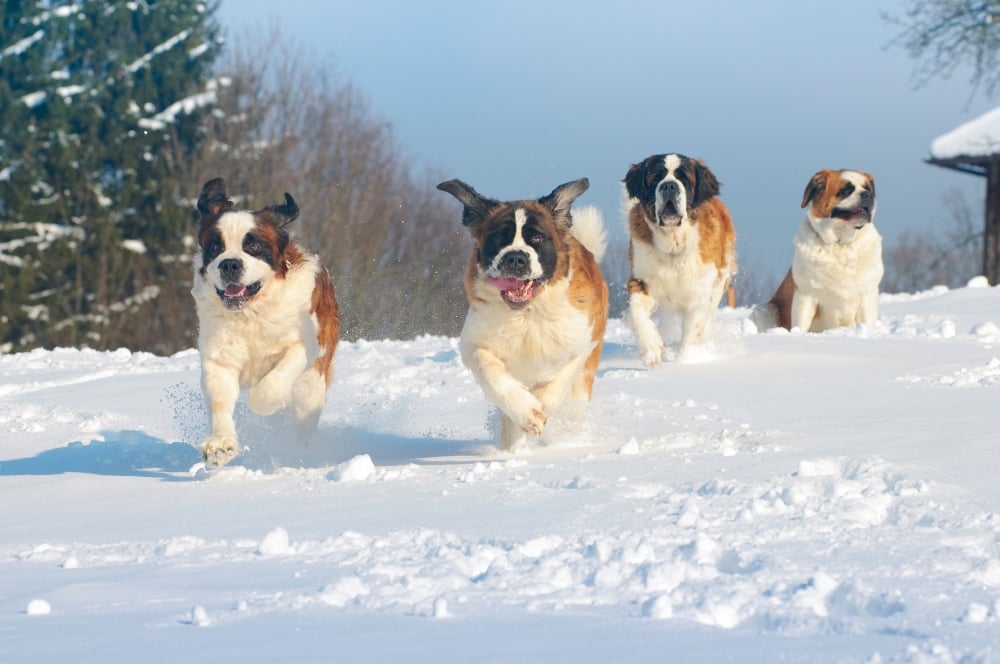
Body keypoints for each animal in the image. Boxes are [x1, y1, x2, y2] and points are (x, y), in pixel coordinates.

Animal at [191, 176, 340, 466]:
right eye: (216, 247)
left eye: (254, 246)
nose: (230, 264)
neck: (252, 311)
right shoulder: (219, 360)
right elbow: (219, 401)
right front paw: (220, 445)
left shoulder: (305, 345)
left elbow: (271, 385)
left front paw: (266, 404)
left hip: (311, 385)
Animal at [438, 176, 608, 452]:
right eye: (499, 238)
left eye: (537, 238)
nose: (515, 258)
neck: (527, 314)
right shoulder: (474, 344)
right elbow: (489, 369)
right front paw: (528, 414)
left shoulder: (583, 340)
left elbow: (559, 381)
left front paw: (540, 408)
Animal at [620, 153, 740, 366]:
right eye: (656, 177)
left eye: (684, 179)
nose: (669, 186)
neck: (673, 243)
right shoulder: (641, 280)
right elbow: (636, 310)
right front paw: (651, 348)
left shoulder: (700, 294)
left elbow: (692, 331)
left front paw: (684, 360)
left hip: (720, 283)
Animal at [752, 169, 884, 334]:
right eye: (846, 190)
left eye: (868, 189)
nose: (867, 195)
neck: (839, 244)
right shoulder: (806, 295)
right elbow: (801, 323)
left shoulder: (868, 294)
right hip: (764, 310)